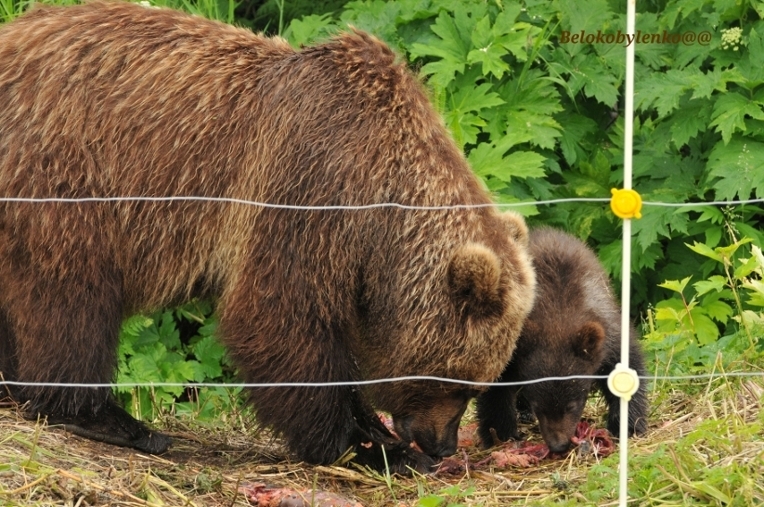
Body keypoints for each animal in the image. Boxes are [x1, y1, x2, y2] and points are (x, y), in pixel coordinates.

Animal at [0, 1, 536, 474]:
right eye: (460, 381)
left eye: (477, 380)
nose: (443, 445)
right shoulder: (309, 187)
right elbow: (278, 317)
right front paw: (369, 446)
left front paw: (379, 436)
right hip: (67, 173)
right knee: (71, 293)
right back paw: (113, 420)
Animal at [478, 228, 644, 454]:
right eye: (539, 405)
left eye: (571, 405)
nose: (558, 445)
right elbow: (496, 390)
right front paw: (500, 433)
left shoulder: (608, 336)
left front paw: (627, 425)